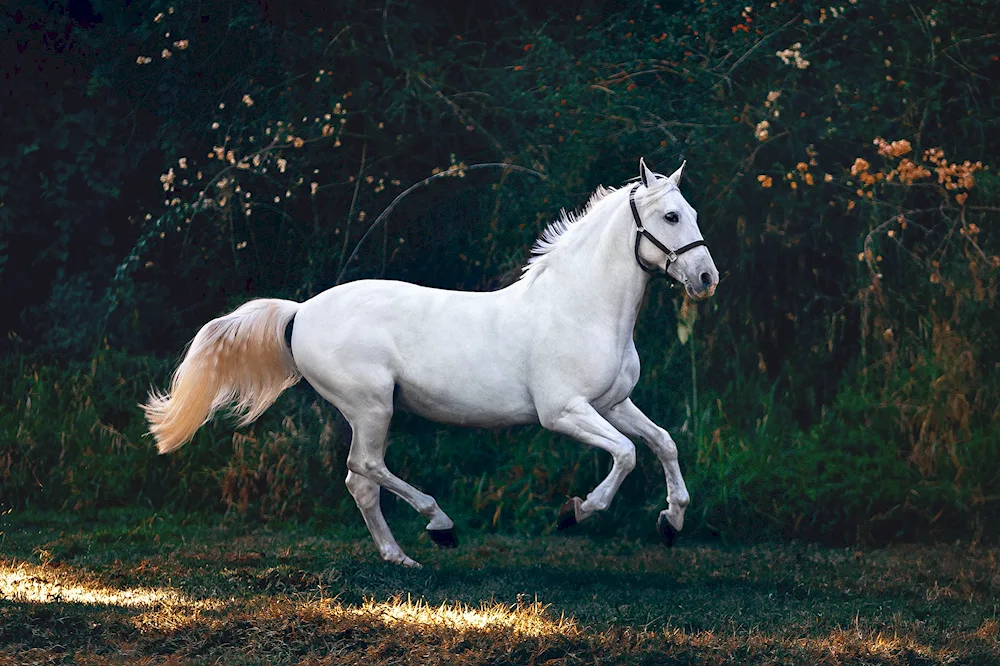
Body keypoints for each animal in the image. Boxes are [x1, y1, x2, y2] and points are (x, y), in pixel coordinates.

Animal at [145, 158, 716, 564]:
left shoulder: (613, 403)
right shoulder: (564, 412)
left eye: (691, 213)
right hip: (371, 406)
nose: (707, 278)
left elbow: (663, 443)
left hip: (370, 411)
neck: (580, 307)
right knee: (365, 468)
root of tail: (301, 312)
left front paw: (671, 522)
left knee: (360, 481)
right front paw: (574, 513)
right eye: (670, 216)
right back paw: (439, 526)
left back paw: (400, 557)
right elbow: (626, 454)